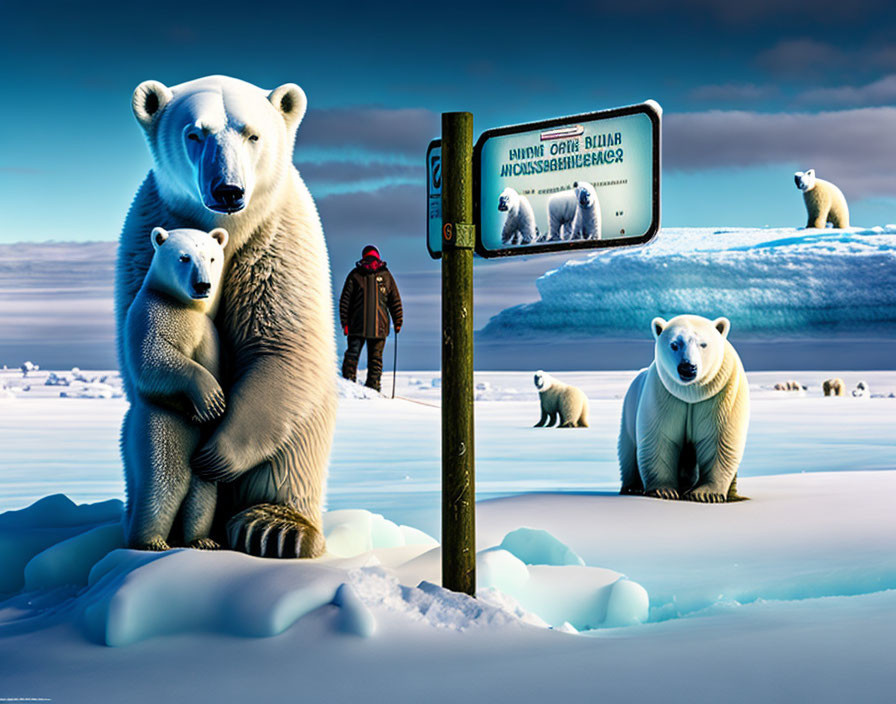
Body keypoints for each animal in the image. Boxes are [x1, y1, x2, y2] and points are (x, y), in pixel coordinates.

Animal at [114, 77, 334, 560]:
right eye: (195, 134)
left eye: (253, 134)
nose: (228, 191)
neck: (229, 231)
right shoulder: (151, 227)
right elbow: (144, 351)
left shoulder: (276, 242)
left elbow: (281, 344)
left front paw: (217, 455)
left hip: (300, 436)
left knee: (294, 446)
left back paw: (272, 526)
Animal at [616, 314, 748, 500]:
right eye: (674, 344)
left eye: (703, 344)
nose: (688, 367)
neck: (691, 393)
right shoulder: (663, 395)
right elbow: (661, 438)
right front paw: (664, 491)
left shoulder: (721, 394)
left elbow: (717, 439)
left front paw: (707, 494)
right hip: (630, 406)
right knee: (629, 448)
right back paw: (632, 487)